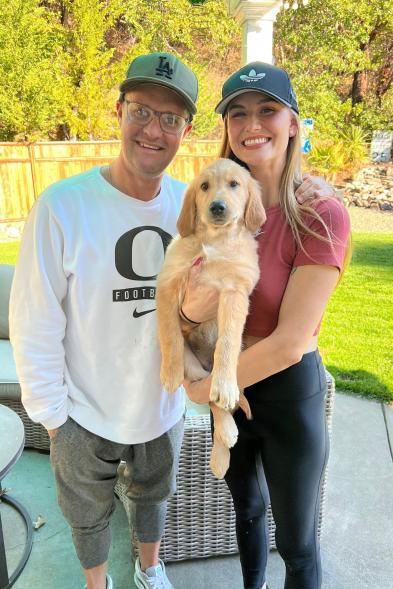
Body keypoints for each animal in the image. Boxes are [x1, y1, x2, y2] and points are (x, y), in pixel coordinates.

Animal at [155, 157, 264, 478]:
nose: (217, 207)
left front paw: (225, 384)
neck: (216, 242)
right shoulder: (168, 284)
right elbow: (169, 333)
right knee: (210, 398)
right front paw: (169, 374)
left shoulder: (234, 292)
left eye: (234, 184)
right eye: (204, 186)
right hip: (194, 368)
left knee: (222, 399)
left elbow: (227, 342)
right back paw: (222, 451)